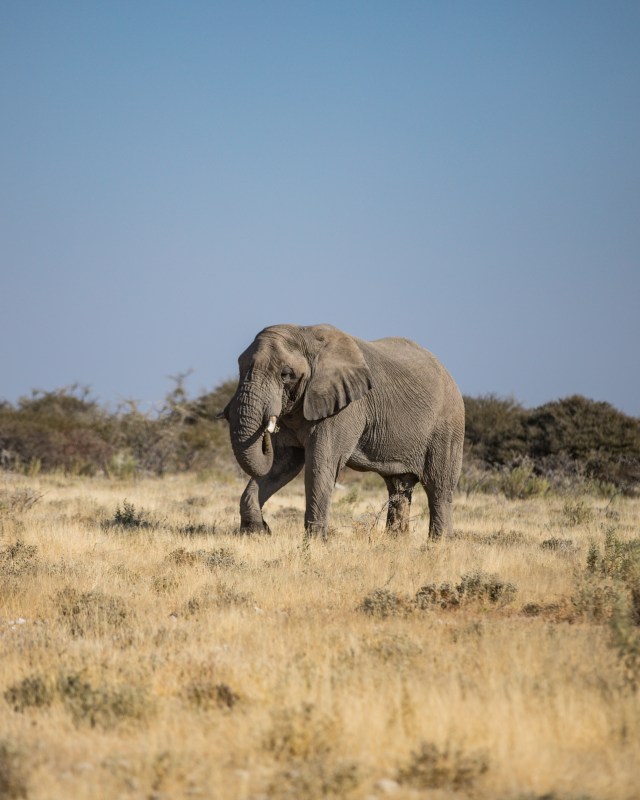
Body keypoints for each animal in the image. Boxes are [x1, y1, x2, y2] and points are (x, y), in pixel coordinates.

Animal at [219, 324, 465, 540]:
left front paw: (314, 544)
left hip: (447, 426)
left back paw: (438, 545)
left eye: (286, 374)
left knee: (438, 487)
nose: (266, 432)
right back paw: (395, 543)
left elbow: (320, 465)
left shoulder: (346, 407)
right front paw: (257, 533)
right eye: (240, 367)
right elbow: (283, 464)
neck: (305, 334)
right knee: (399, 488)